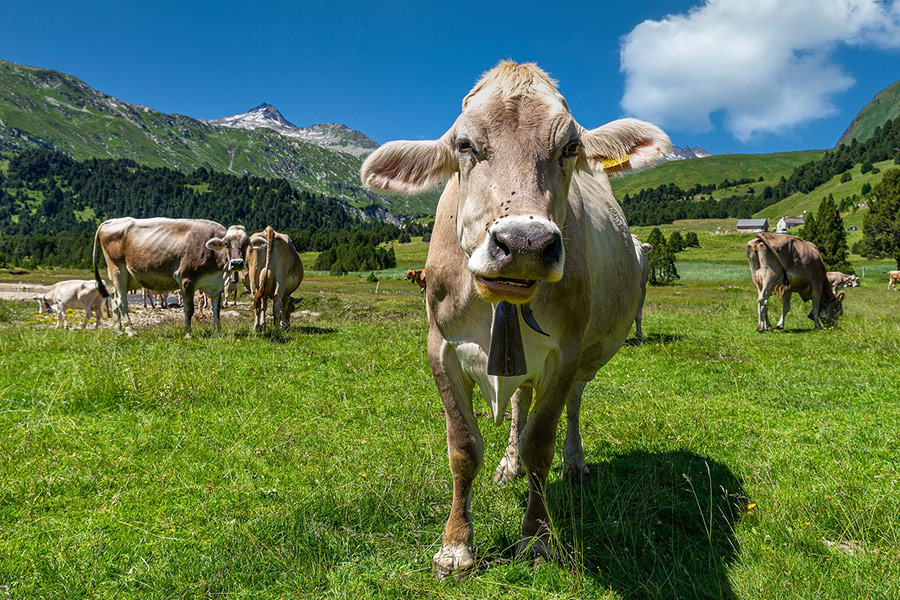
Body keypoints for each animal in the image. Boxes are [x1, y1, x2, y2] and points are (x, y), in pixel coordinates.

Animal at [93, 217, 249, 336]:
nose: (237, 263)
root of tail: (111, 221)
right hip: (118, 270)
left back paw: (119, 331)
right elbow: (189, 309)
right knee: (121, 302)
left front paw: (218, 332)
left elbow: (216, 309)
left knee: (114, 300)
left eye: (246, 243)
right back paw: (131, 331)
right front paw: (188, 333)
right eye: (226, 243)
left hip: (127, 278)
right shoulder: (186, 278)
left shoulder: (216, 284)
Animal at [361, 61, 670, 576]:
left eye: (570, 147)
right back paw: (508, 465)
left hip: (586, 358)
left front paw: (537, 537)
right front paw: (456, 545)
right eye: (465, 145)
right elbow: (464, 448)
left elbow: (540, 444)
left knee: (572, 406)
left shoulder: (565, 353)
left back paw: (575, 462)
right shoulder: (440, 349)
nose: (524, 243)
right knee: (519, 404)